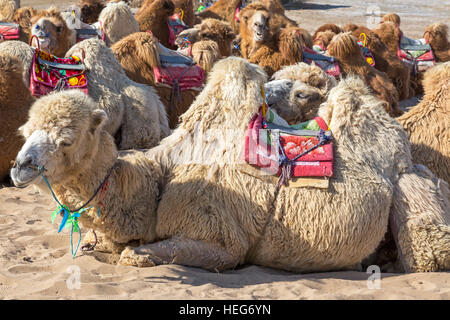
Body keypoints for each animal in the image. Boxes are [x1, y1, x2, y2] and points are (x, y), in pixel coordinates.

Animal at [10, 57, 450, 272]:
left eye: (65, 140)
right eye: (25, 131)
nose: (19, 167)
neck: (158, 180)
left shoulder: (219, 238)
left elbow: (135, 256)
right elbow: (98, 244)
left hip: (410, 182)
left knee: (428, 254)